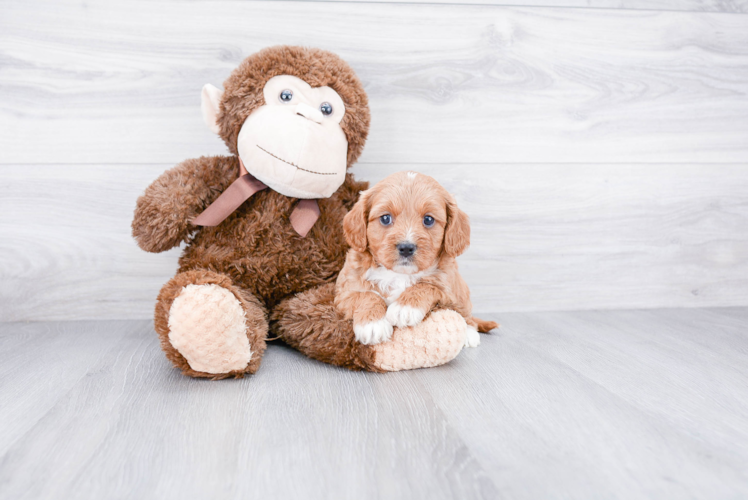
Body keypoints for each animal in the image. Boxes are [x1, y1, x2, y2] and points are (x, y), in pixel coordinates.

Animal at [334, 172, 496, 348]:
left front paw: (404, 308)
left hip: (461, 292)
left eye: (428, 220)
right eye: (385, 218)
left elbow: (426, 285)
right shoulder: (343, 293)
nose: (406, 247)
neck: (399, 274)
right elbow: (365, 295)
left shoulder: (446, 287)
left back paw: (469, 334)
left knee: (467, 314)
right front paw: (373, 325)